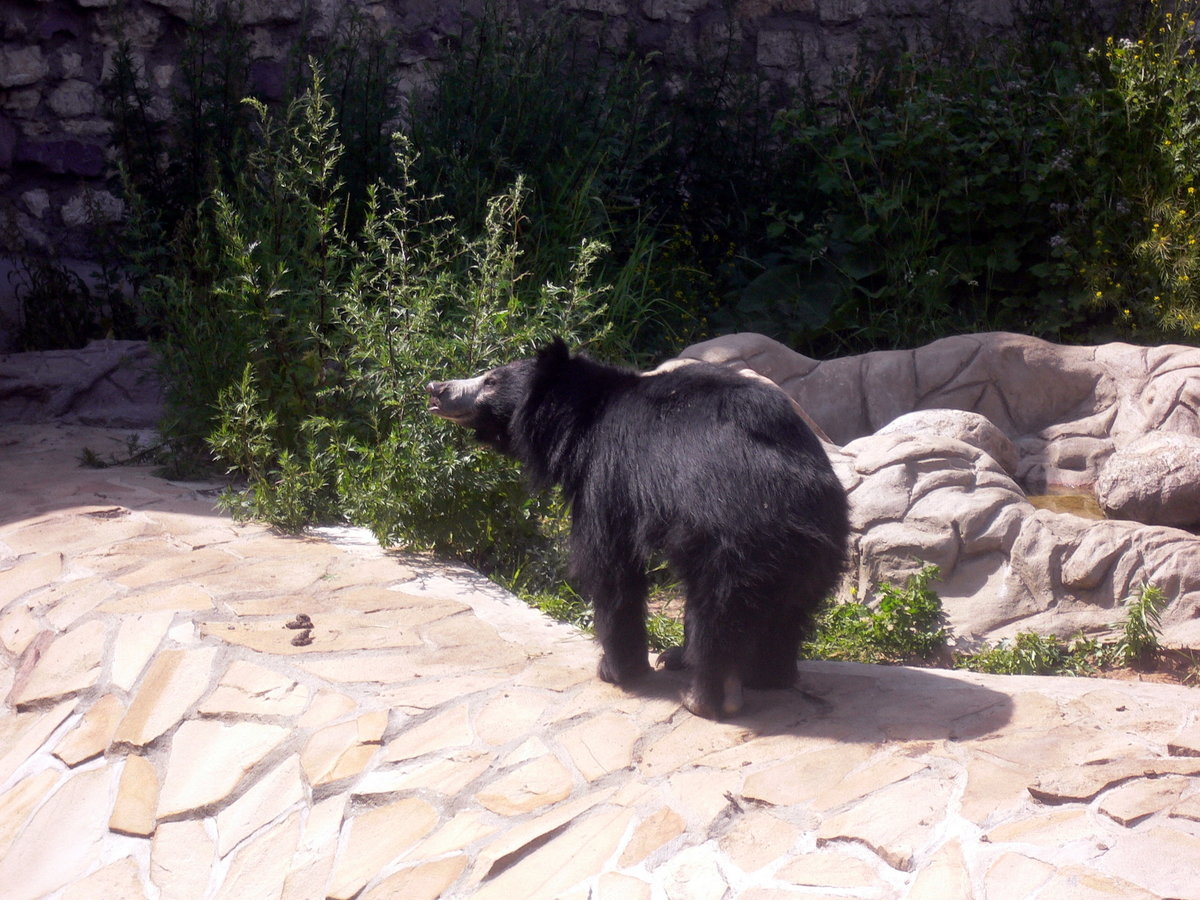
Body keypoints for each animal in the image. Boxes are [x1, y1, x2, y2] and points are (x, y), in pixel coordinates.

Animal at [426, 339, 849, 719]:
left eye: (491, 380)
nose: (436, 389)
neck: (584, 417)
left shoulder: (607, 475)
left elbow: (610, 566)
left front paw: (615, 670)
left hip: (730, 541)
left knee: (715, 613)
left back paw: (704, 697)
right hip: (818, 548)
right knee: (786, 613)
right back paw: (765, 675)